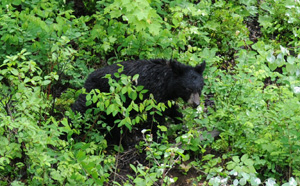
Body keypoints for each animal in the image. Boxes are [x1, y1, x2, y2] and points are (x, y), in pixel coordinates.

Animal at [71, 58, 205, 140]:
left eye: (199, 88)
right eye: (187, 88)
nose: (196, 103)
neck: (167, 81)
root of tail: (88, 77)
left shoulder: (166, 97)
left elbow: (172, 109)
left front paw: (182, 126)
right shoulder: (154, 93)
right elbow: (156, 116)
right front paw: (159, 138)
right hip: (93, 95)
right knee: (80, 109)